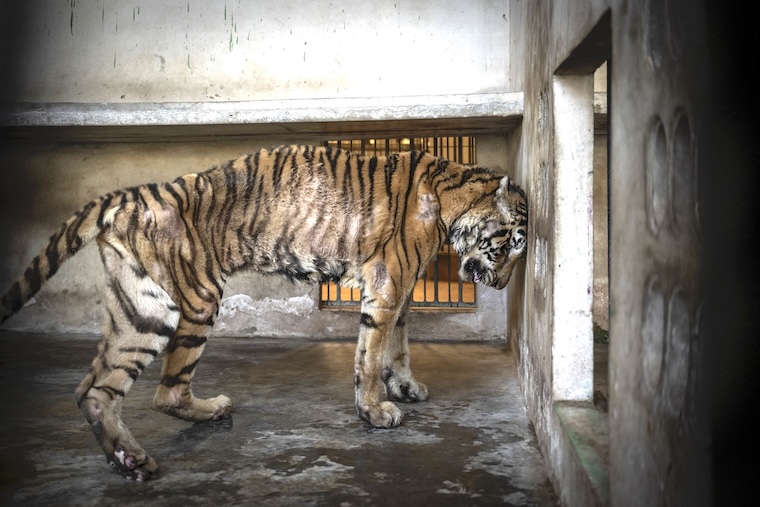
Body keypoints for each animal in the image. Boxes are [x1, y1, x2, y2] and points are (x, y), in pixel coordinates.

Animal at [0, 144, 528, 480]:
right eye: (508, 247)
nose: (502, 284)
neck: (454, 196)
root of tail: (139, 193)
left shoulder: (402, 288)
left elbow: (397, 344)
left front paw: (405, 387)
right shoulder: (387, 282)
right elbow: (371, 353)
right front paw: (375, 411)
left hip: (141, 310)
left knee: (95, 390)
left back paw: (132, 459)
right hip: (192, 301)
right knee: (164, 392)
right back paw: (186, 427)